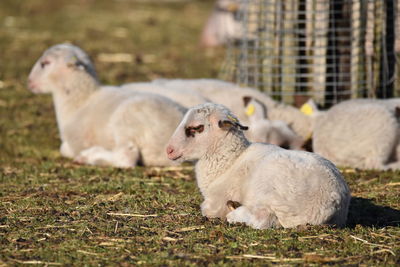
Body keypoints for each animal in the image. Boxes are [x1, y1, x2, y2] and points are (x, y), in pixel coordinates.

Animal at [26, 45, 186, 169]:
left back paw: (89, 157)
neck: (80, 100)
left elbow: (64, 148)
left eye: (45, 63)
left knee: (126, 158)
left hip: (126, 123)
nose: (29, 82)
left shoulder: (75, 141)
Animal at [166, 103, 350, 229]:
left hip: (269, 193)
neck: (230, 162)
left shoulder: (215, 201)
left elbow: (206, 209)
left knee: (264, 219)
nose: (169, 150)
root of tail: (330, 203)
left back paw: (234, 213)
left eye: (197, 127)